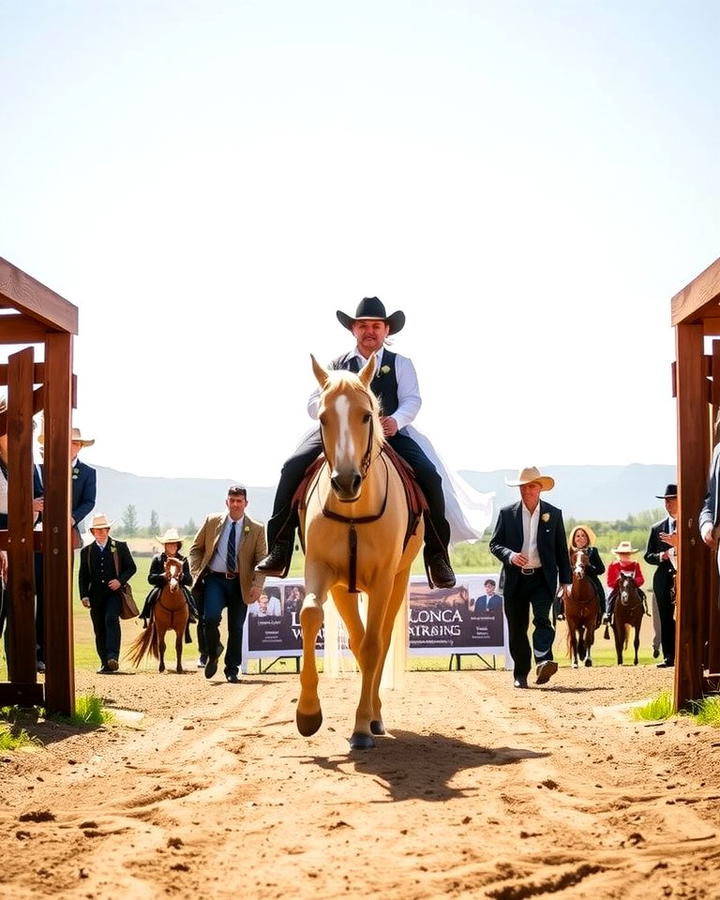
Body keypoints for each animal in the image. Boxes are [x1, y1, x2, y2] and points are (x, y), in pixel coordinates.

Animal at [296, 356, 424, 748]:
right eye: (323, 417)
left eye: (367, 415)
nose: (345, 481)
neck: (355, 509)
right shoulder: (325, 573)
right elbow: (311, 617)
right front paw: (308, 713)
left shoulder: (382, 579)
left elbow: (372, 647)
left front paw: (361, 726)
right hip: (348, 589)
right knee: (358, 638)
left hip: (398, 580)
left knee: (379, 640)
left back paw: (375, 718)